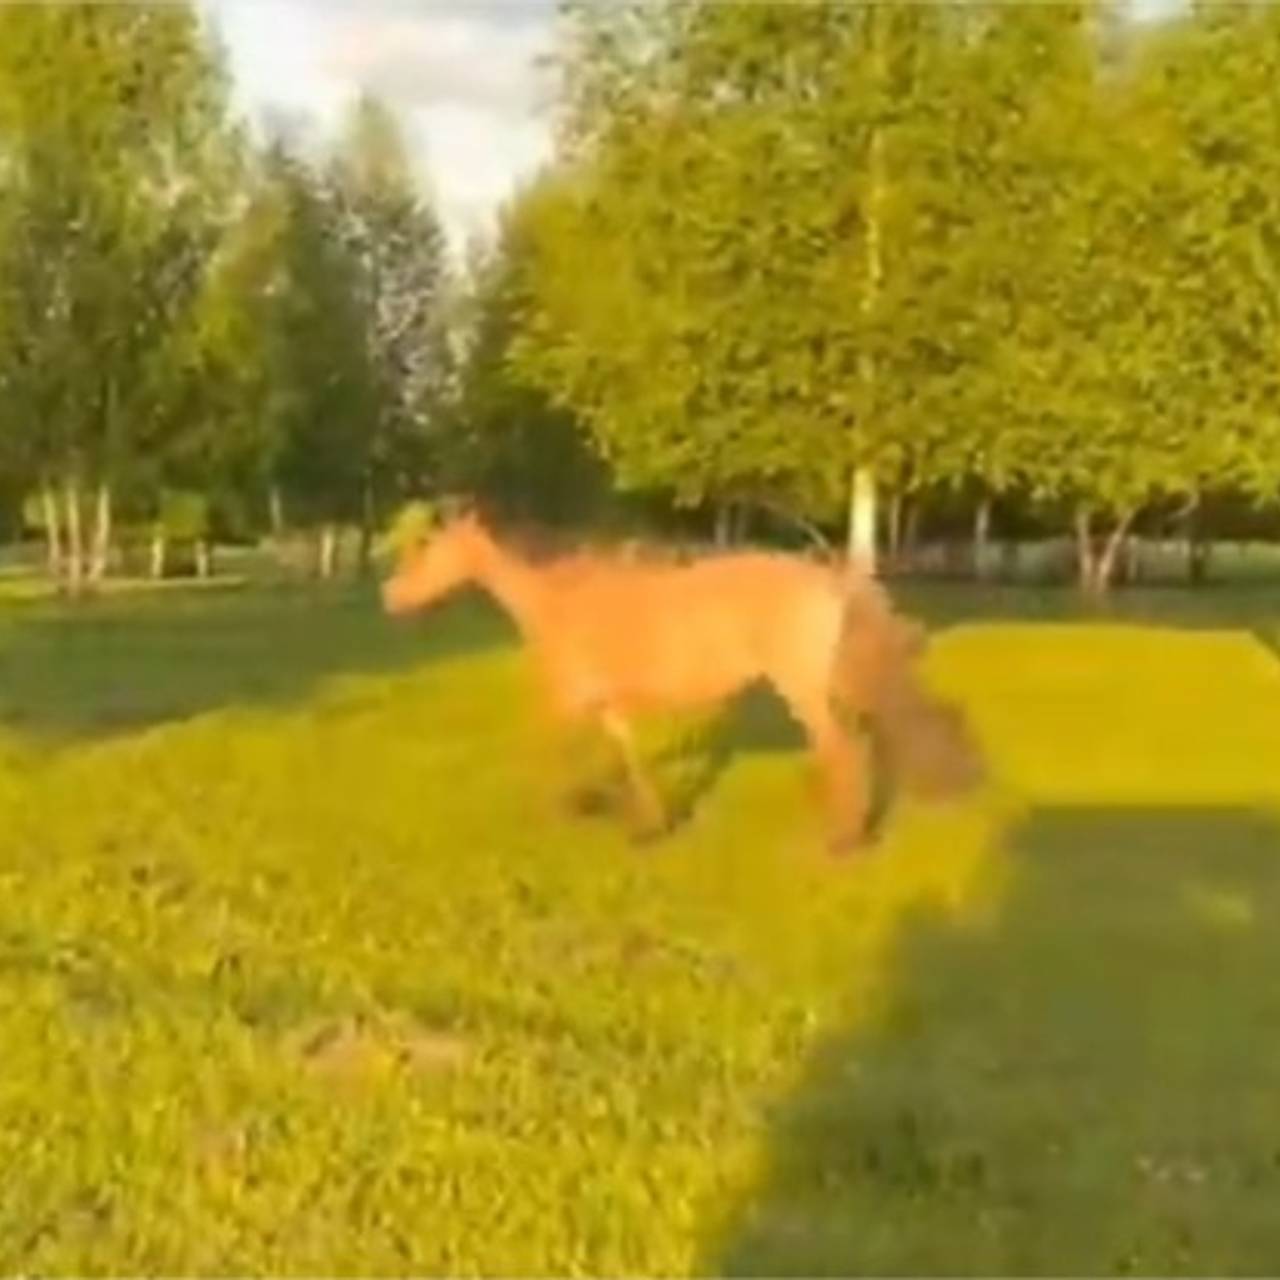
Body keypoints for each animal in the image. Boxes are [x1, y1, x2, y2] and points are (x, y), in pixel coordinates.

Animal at [381, 507, 983, 853]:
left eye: (431, 548)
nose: (391, 597)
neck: (560, 603)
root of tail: (832, 580)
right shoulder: (607, 705)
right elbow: (629, 756)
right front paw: (650, 826)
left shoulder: (567, 700)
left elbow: (544, 750)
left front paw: (560, 814)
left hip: (801, 686)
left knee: (841, 749)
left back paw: (842, 842)